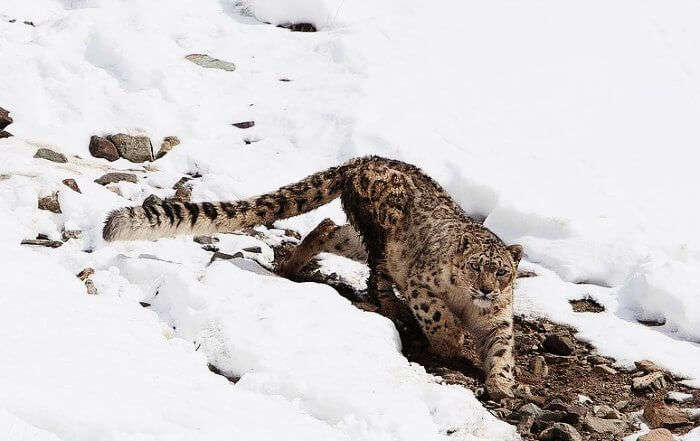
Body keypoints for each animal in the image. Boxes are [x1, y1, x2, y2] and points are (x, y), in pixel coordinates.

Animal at [102, 156, 520, 398]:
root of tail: (366, 158)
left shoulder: (498, 318)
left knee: (330, 229)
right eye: (474, 266)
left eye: (501, 272)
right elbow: (438, 315)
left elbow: (502, 349)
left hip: (359, 235)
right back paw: (389, 307)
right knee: (377, 274)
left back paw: (293, 265)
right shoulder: (422, 285)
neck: (468, 304)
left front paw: (502, 384)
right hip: (383, 233)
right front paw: (452, 342)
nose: (486, 290)